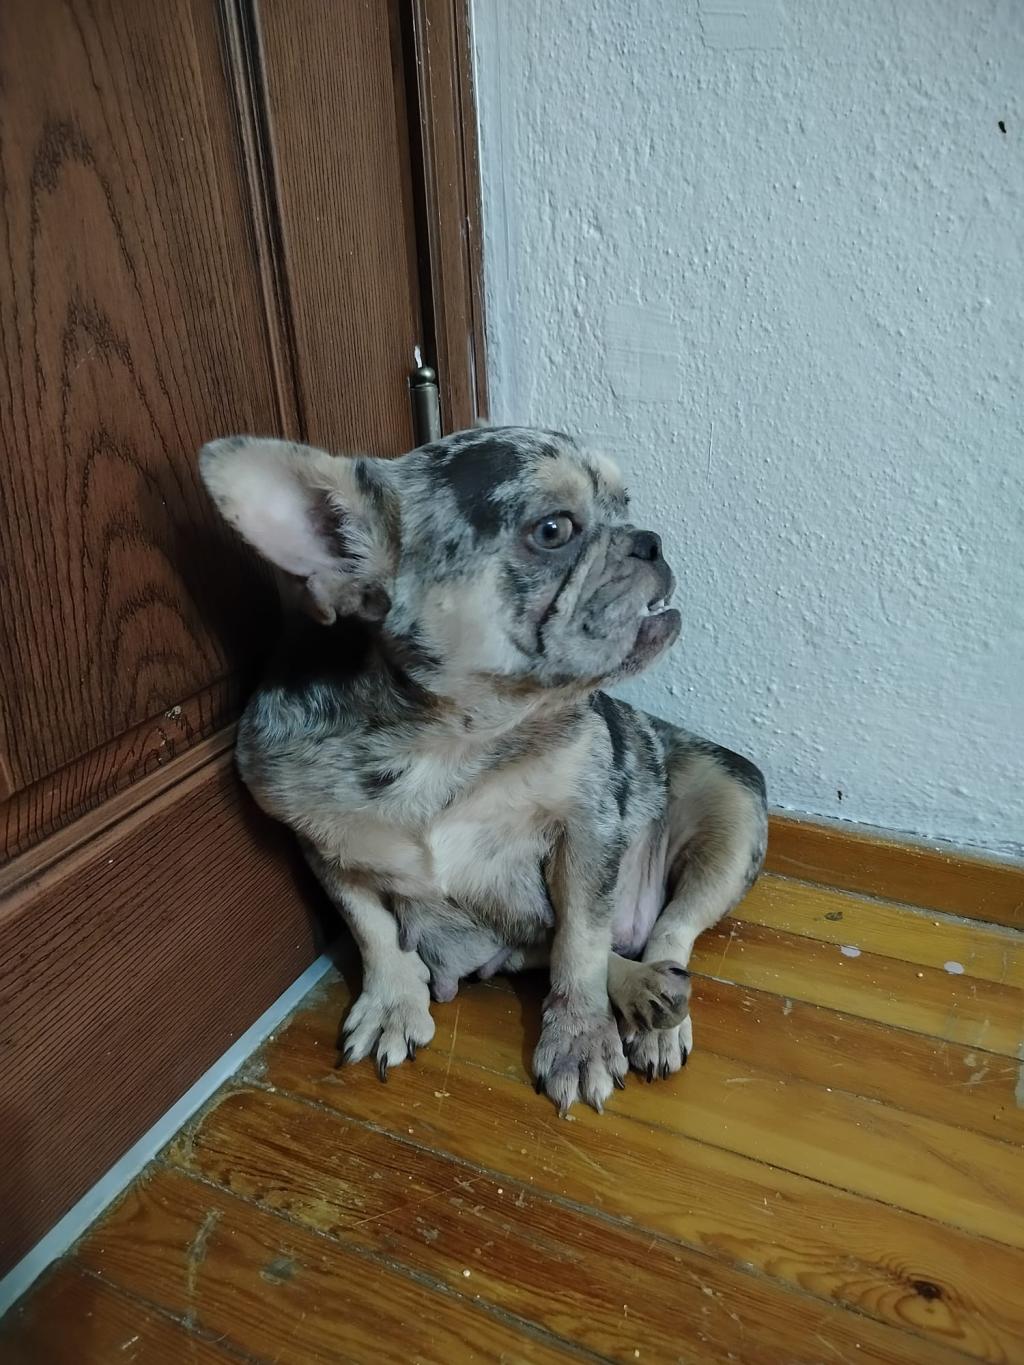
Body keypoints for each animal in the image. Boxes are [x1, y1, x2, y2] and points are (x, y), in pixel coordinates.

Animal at [200, 426, 767, 1114]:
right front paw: (391, 1002)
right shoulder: (325, 847)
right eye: (553, 530)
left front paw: (578, 1039)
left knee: (669, 928)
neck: (447, 740)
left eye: (625, 504)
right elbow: (371, 929)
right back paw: (636, 987)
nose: (649, 539)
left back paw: (655, 1003)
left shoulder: (587, 830)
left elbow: (581, 944)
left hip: (732, 803)